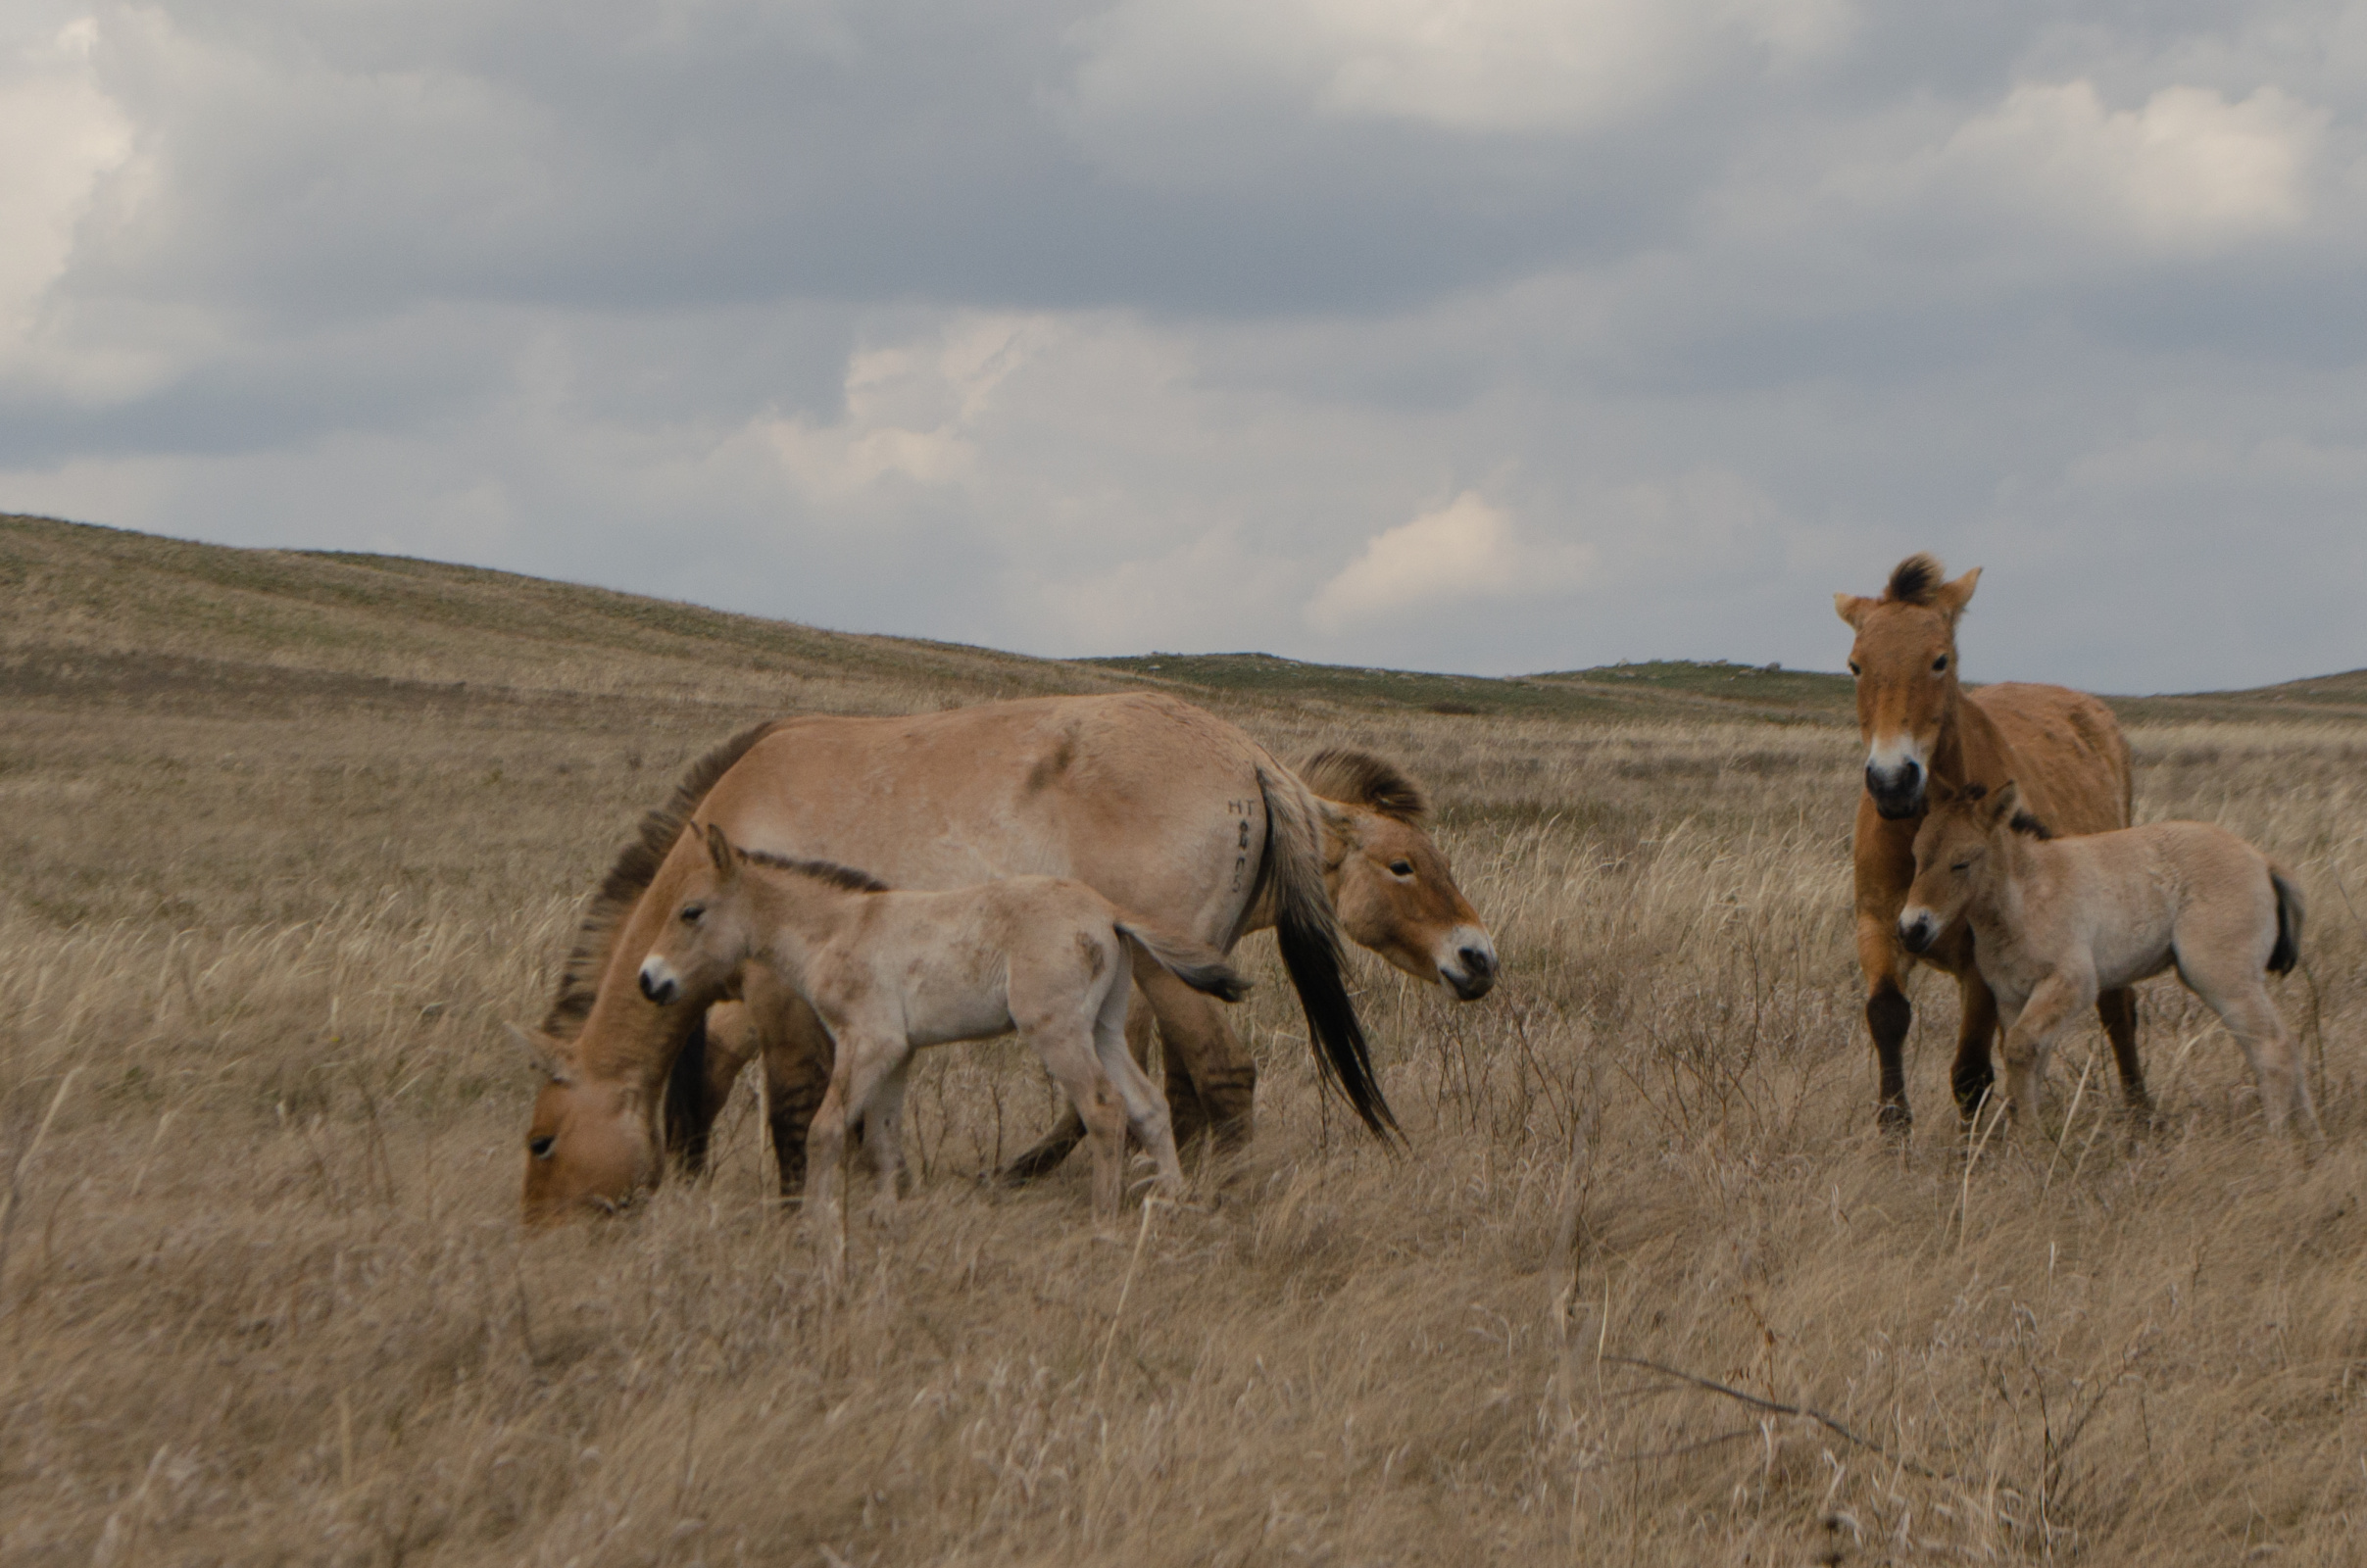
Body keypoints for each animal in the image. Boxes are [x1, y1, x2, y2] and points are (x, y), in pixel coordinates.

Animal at [629, 827, 1258, 1257]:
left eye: (691, 912)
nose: (650, 981)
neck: (836, 929)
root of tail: (1106, 910)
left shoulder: (868, 1042)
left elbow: (824, 1131)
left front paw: (813, 1226)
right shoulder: (898, 1053)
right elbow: (884, 1138)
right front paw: (886, 1217)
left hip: (1057, 1031)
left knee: (1104, 1109)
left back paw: (1104, 1218)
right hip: (1101, 1029)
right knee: (1148, 1105)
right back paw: (1173, 1200)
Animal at [1827, 558, 2148, 1135]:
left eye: (1940, 661)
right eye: (1855, 665)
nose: (1892, 782)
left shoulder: (1980, 961)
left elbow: (1971, 1072)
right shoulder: (1878, 926)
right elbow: (1887, 1016)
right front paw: (1894, 1130)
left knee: (2118, 1008)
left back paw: (2139, 1113)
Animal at [1894, 780, 2319, 1140]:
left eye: (1962, 862)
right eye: (1915, 857)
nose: (1911, 929)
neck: (2026, 895)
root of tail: (2262, 860)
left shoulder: (2072, 984)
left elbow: (2020, 1050)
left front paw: (2030, 1142)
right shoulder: (2013, 997)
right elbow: (2028, 1057)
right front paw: (2029, 1139)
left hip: (2223, 979)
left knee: (2272, 1046)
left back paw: (2279, 1141)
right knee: (2278, 1044)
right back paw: (2309, 1137)